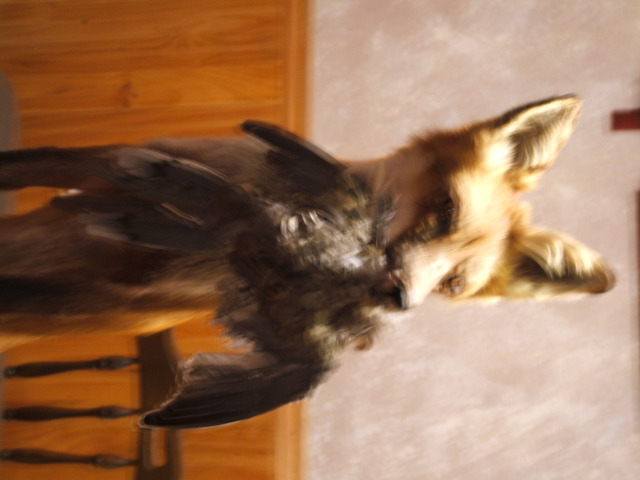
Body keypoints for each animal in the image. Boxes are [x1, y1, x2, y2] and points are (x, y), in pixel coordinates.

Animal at [0, 95, 614, 427]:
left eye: (454, 284)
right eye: (445, 209)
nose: (398, 296)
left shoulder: (109, 294)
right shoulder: (102, 171)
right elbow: (34, 162)